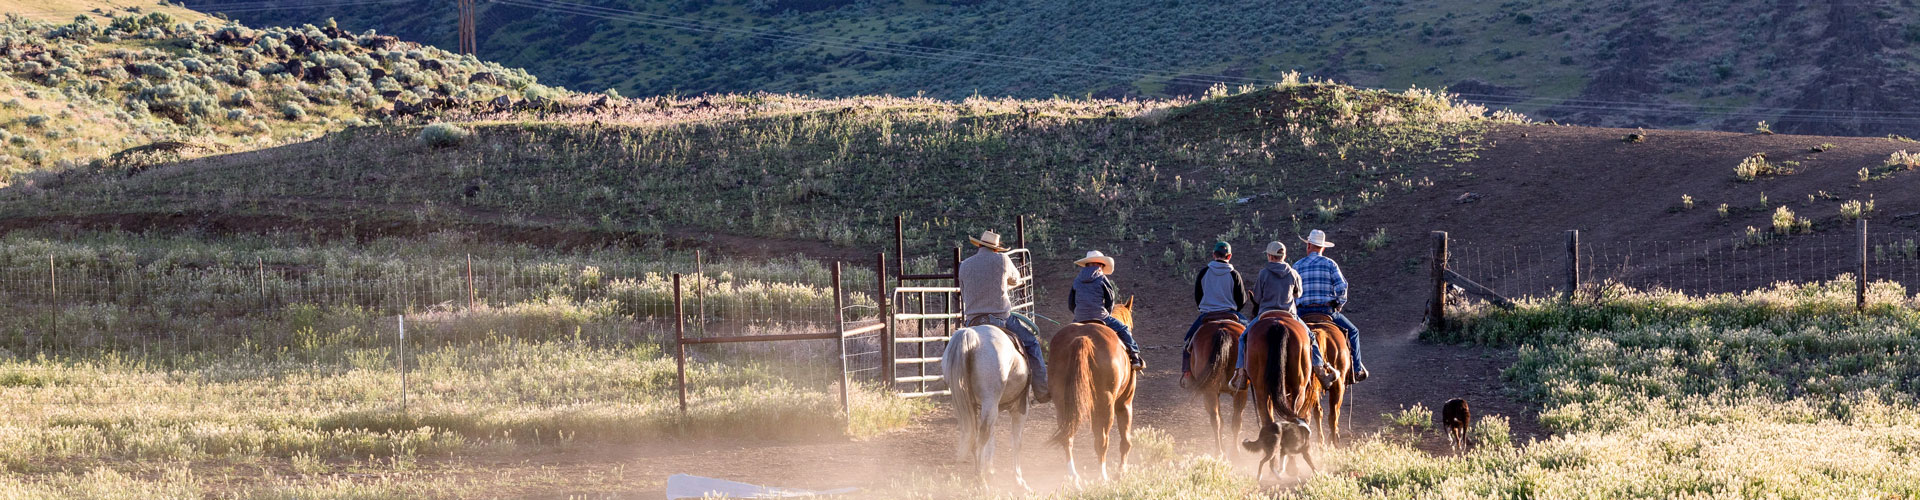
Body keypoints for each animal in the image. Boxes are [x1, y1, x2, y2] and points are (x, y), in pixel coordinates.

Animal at [936, 325, 1029, 488]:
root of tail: (971, 334)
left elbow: (992, 439)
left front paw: (990, 470)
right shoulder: (1020, 407)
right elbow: (1016, 442)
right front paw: (1018, 479)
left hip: (968, 405)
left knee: (975, 437)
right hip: (990, 403)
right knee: (981, 439)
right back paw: (981, 482)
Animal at [1052, 296, 1136, 484]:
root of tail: (1082, 337)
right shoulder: (1125, 402)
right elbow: (1125, 441)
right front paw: (1122, 471)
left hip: (1062, 402)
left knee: (1067, 437)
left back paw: (1074, 477)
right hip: (1106, 403)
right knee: (1102, 440)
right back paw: (1102, 476)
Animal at [1182, 317, 1244, 457]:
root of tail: (1222, 329)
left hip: (1211, 391)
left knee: (1218, 419)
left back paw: (1221, 451)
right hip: (1236, 391)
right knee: (1231, 420)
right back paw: (1231, 452)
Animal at [1236, 311, 1313, 480]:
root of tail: (1277, 324)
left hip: (1261, 388)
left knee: (1267, 418)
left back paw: (1272, 465)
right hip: (1298, 388)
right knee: (1291, 416)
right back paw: (1289, 466)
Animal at [1297, 311, 1359, 446]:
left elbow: (1317, 412)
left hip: (1307, 386)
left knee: (1310, 414)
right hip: (1338, 385)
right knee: (1333, 415)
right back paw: (1334, 441)